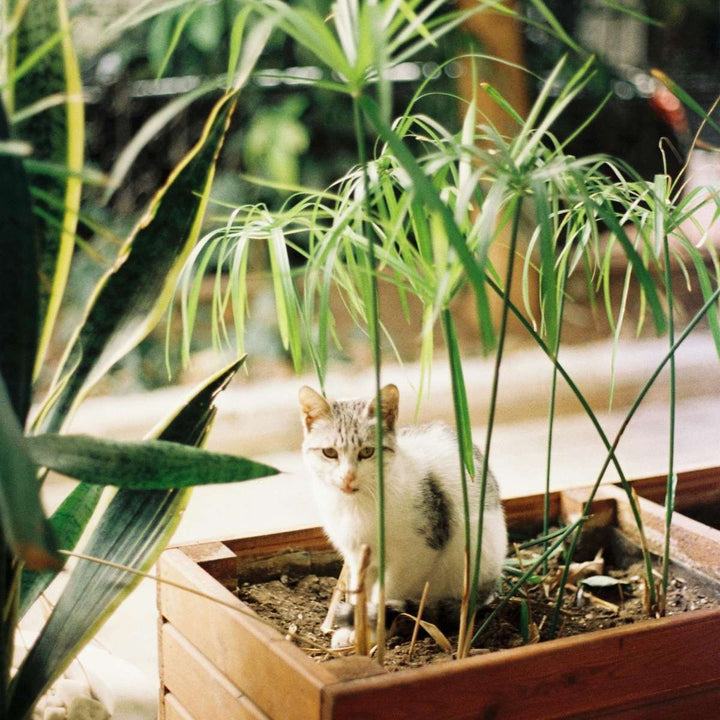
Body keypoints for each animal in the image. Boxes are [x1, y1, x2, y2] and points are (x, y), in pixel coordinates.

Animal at [298, 382, 506, 648]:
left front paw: (373, 631)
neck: (357, 506)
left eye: (367, 451)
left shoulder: (417, 553)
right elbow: (359, 593)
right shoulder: (356, 555)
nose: (348, 478)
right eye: (329, 452)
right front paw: (355, 630)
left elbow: (386, 592)